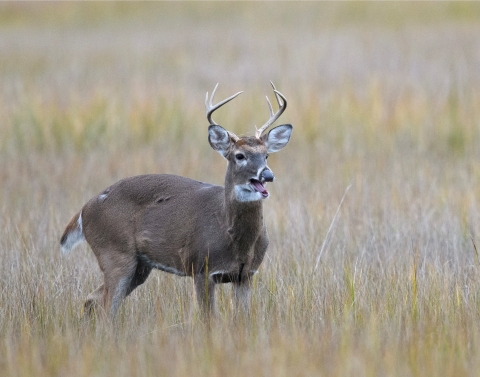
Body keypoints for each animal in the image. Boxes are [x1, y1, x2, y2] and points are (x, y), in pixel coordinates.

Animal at [60, 82, 292, 318]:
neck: (236, 241)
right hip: (114, 252)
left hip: (139, 266)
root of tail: (84, 210)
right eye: (239, 155)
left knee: (93, 300)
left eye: (266, 155)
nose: (267, 175)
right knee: (106, 306)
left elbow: (242, 317)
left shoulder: (245, 275)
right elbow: (208, 318)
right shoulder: (202, 268)